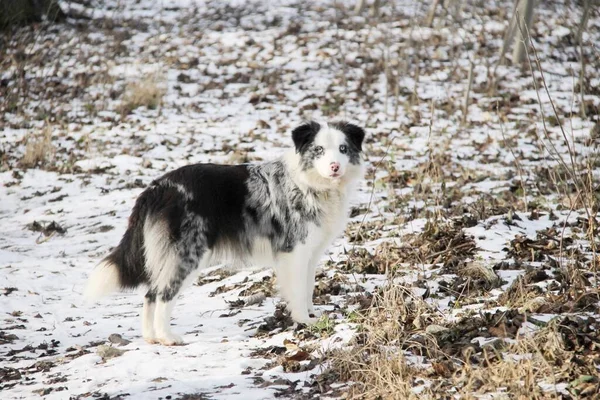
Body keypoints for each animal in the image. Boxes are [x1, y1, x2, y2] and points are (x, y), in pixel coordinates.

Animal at [84, 119, 366, 344]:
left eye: (343, 149)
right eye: (319, 150)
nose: (334, 167)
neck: (312, 185)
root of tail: (156, 188)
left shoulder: (310, 254)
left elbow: (307, 288)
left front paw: (311, 314)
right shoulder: (293, 252)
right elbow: (296, 291)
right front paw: (303, 321)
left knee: (150, 293)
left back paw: (151, 337)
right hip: (187, 253)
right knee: (163, 294)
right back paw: (168, 338)